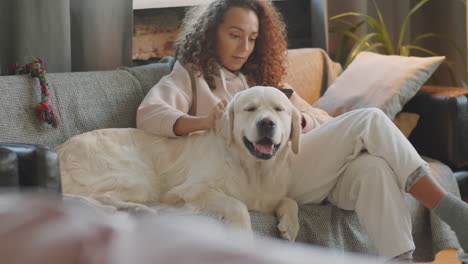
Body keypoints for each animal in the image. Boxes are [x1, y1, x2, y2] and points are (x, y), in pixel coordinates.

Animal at [56, 85, 302, 240]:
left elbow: (290, 201)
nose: (267, 123)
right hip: (136, 176)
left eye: (279, 109)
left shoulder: (268, 196)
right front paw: (243, 235)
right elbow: (238, 205)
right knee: (96, 198)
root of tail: (60, 149)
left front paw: (290, 226)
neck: (253, 168)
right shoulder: (191, 190)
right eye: (250, 109)